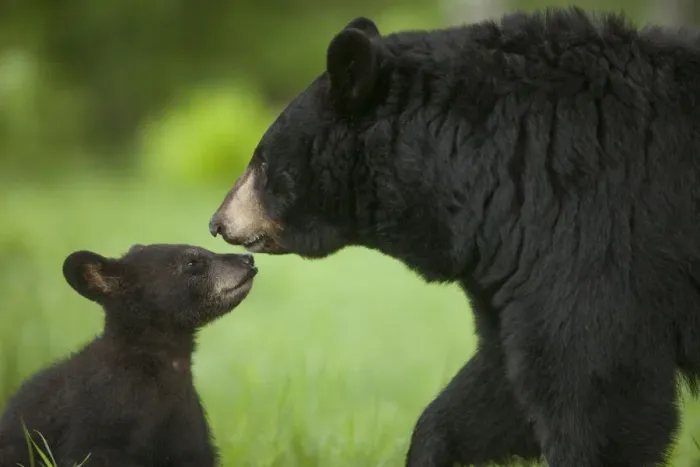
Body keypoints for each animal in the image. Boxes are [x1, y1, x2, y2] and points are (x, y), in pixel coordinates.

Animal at [207, 7, 700, 467]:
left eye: (263, 162)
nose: (218, 221)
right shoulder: (519, 264)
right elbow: (496, 385)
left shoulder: (590, 235)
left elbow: (595, 383)